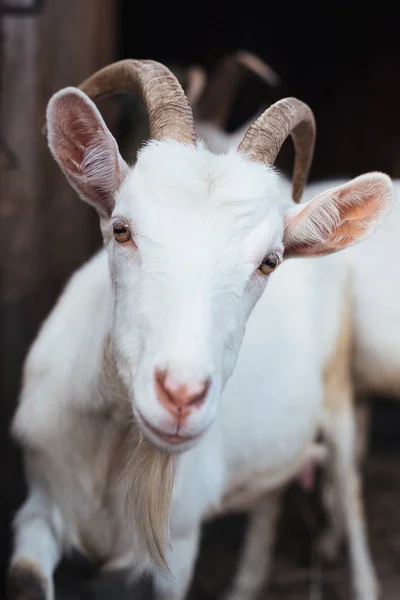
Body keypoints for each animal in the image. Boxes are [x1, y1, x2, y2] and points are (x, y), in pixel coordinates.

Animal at [9, 59, 394, 600]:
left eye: (270, 261)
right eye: (121, 229)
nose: (181, 395)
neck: (111, 445)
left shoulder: (178, 545)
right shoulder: (40, 501)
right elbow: (26, 576)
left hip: (338, 395)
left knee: (348, 485)